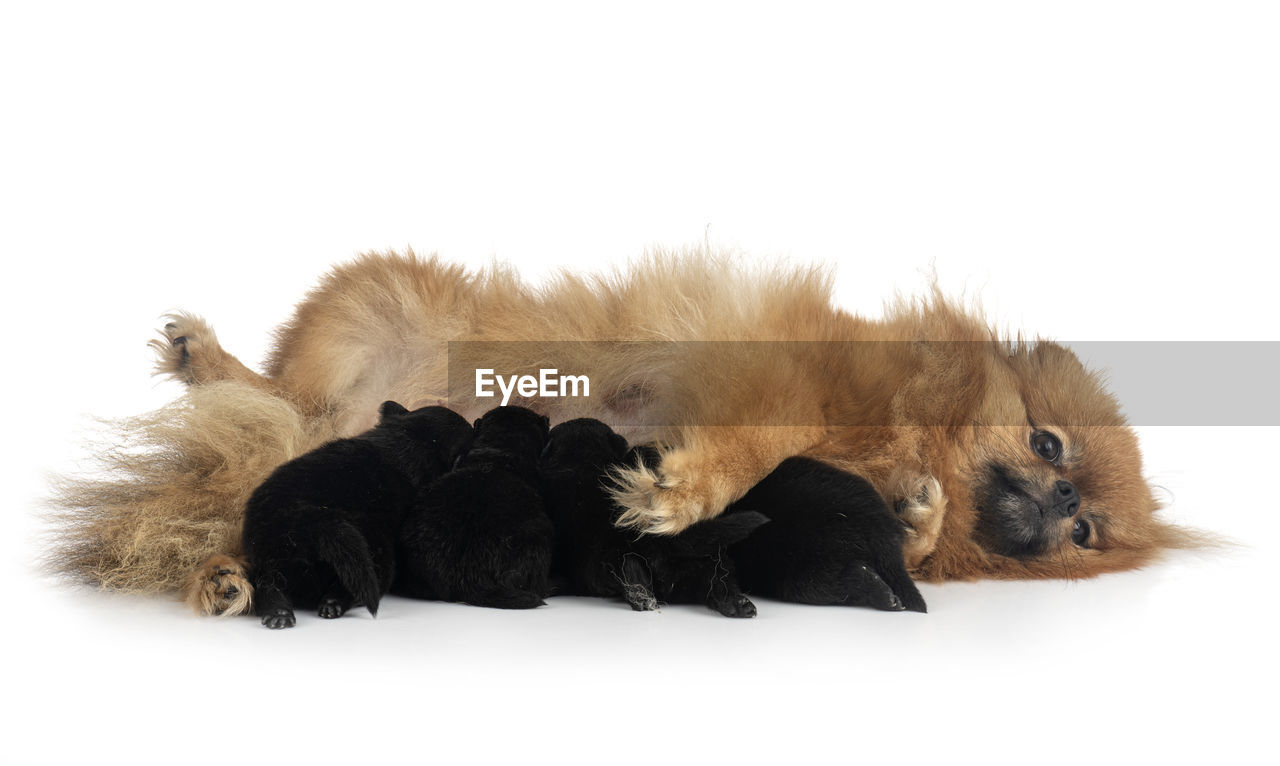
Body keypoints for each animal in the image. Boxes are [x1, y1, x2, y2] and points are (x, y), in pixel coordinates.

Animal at [244, 402, 476, 630]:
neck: (403, 441)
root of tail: (308, 518)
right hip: (378, 554)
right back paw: (330, 604)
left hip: (270, 556)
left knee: (268, 584)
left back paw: (279, 613)